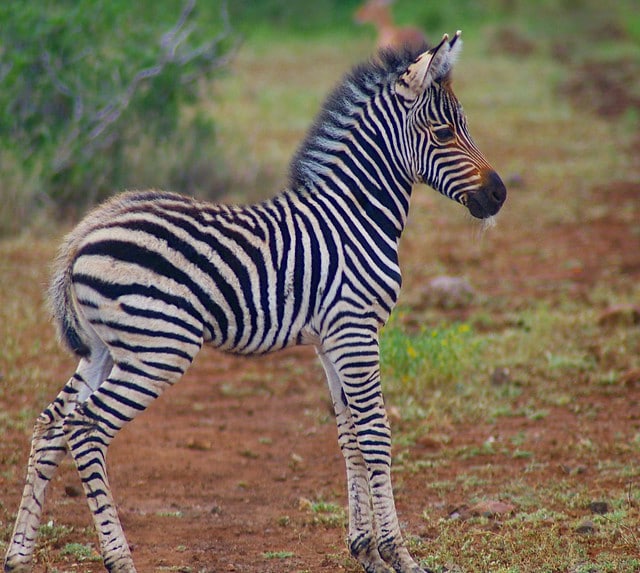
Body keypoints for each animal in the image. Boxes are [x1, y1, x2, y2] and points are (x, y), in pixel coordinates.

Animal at [5, 32, 504, 572]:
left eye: (462, 127)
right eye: (442, 132)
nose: (498, 195)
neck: (353, 217)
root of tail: (84, 233)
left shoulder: (331, 340)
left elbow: (348, 436)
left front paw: (365, 551)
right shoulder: (356, 331)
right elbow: (375, 437)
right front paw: (400, 555)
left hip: (106, 350)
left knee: (51, 425)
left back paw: (18, 555)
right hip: (159, 348)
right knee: (86, 428)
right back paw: (119, 559)